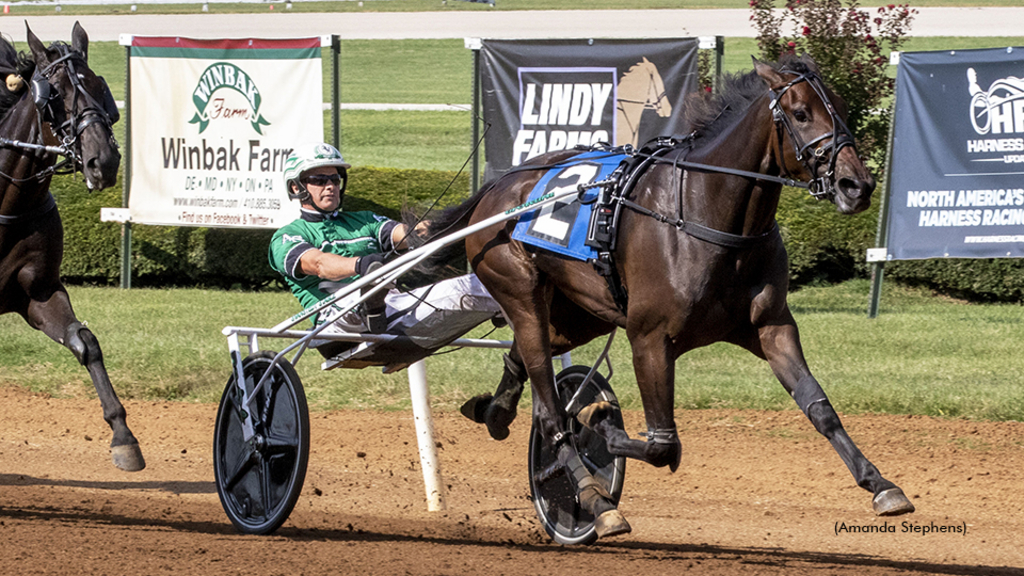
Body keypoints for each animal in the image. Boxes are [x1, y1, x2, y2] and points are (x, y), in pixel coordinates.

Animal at [0, 22, 145, 471]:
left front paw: (123, 436)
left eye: (99, 86)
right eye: (54, 95)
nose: (104, 161)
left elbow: (85, 343)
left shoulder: (39, 292)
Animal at [421, 53, 913, 537]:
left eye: (843, 110)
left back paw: (495, 412)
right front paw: (598, 419)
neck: (704, 213)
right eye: (799, 113)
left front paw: (881, 485)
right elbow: (663, 446)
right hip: (520, 292)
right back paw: (596, 501)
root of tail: (499, 188)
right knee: (551, 410)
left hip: (580, 313)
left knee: (525, 364)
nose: (857, 185)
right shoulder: (650, 338)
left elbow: (820, 408)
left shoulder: (771, 326)